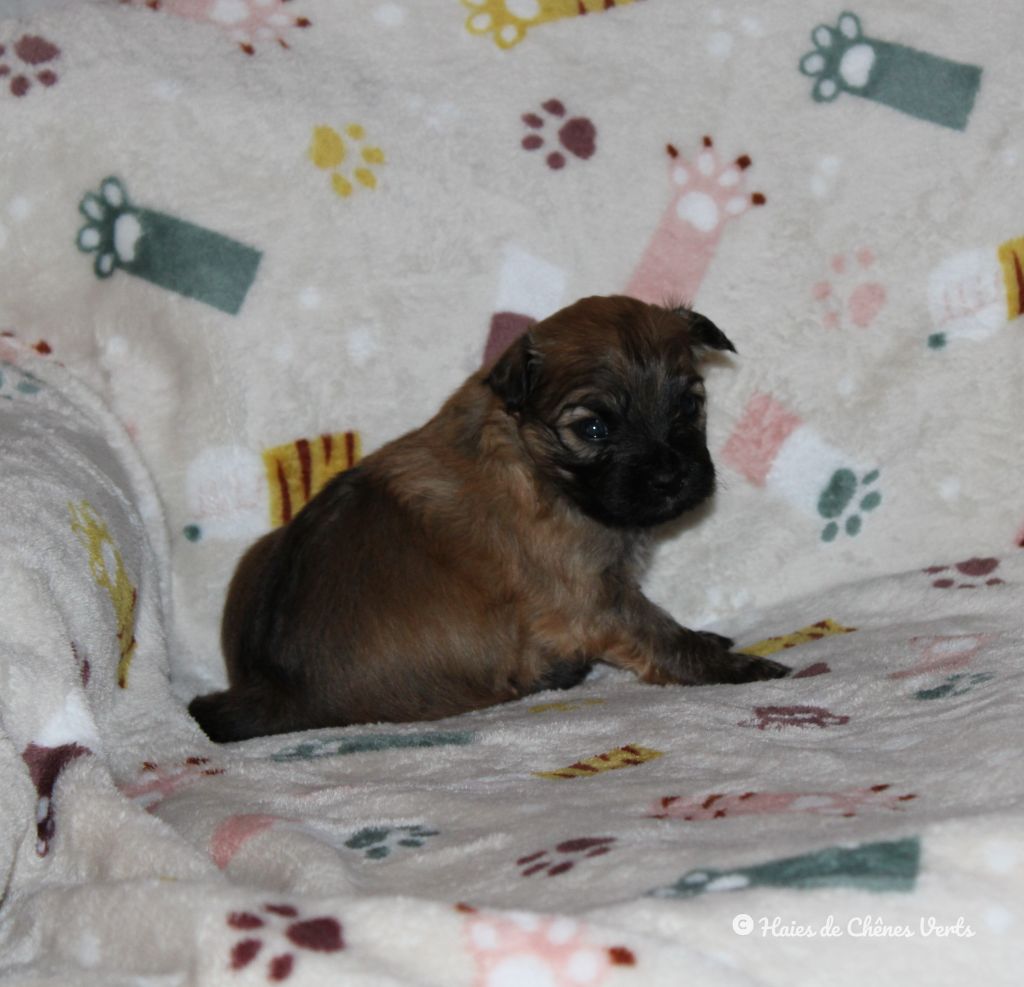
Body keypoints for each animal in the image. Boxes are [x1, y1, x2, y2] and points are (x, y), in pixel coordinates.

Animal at [190, 292, 782, 741]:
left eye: (689, 407)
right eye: (593, 429)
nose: (670, 477)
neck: (535, 462)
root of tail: (272, 689)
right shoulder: (595, 599)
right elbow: (663, 635)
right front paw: (736, 667)